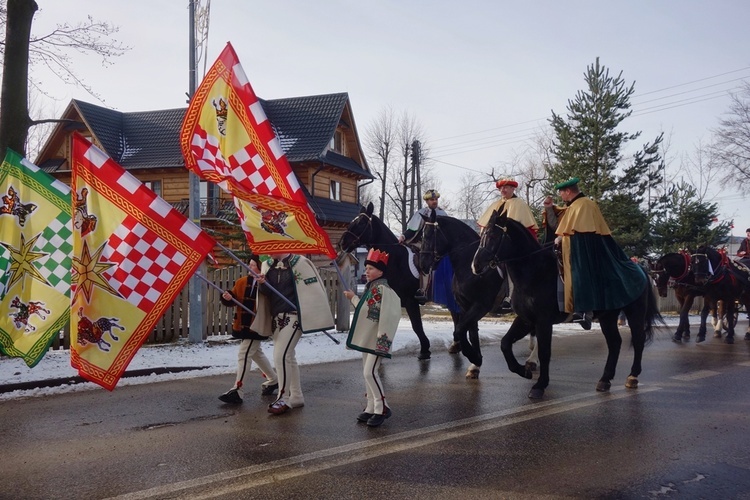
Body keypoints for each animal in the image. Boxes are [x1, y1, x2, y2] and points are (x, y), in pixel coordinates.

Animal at [340, 203, 438, 360]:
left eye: (361, 223)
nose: (342, 242)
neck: (394, 260)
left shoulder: (410, 301)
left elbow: (417, 325)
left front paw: (425, 349)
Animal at [420, 211, 536, 378]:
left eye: (429, 235)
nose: (422, 264)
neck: (469, 268)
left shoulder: (480, 306)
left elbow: (461, 329)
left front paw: (473, 356)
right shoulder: (465, 306)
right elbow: (471, 332)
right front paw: (475, 365)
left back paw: (532, 360)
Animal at [472, 210, 660, 398]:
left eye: (493, 235)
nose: (476, 265)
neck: (534, 272)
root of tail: (641, 269)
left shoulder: (543, 322)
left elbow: (545, 352)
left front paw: (539, 385)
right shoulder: (526, 320)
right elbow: (505, 343)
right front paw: (523, 371)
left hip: (635, 313)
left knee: (638, 340)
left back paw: (632, 376)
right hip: (608, 317)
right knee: (615, 343)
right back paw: (605, 380)